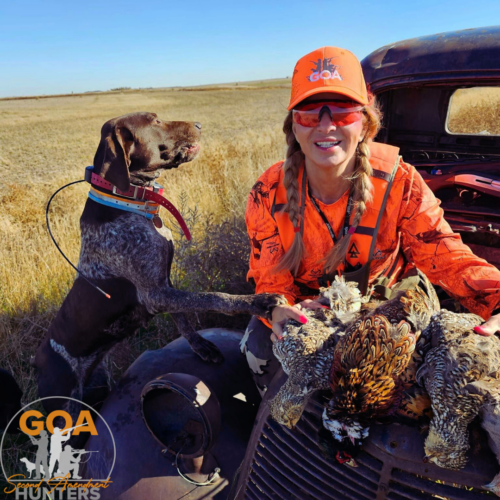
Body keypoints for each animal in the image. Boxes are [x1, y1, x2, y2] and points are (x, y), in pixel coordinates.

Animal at [33, 112, 284, 413]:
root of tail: (37, 361)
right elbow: (213, 297)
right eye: (155, 121)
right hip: (63, 404)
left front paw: (200, 345)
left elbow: (184, 315)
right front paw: (258, 302)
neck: (128, 202)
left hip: (97, 386)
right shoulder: (155, 294)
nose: (199, 124)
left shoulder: (165, 284)